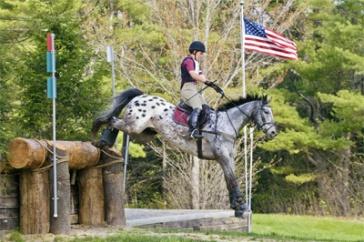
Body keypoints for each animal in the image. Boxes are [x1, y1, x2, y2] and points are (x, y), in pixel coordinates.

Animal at [92, 88, 278, 216]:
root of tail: (141, 96)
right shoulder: (223, 157)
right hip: (135, 125)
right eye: (266, 112)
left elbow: (229, 180)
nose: (273, 133)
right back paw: (102, 140)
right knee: (112, 120)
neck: (225, 124)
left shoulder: (226, 158)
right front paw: (240, 207)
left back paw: (105, 142)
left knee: (118, 123)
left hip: (144, 133)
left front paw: (237, 206)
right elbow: (232, 180)